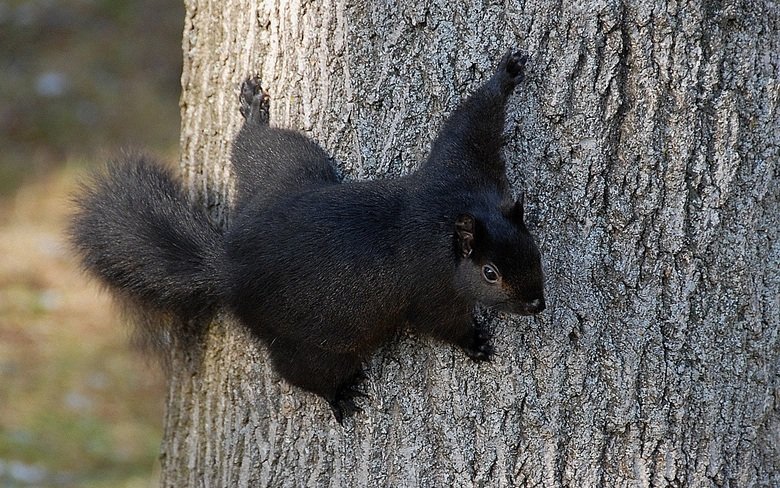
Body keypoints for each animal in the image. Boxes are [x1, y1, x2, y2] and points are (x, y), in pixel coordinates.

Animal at [69, 50, 545, 423]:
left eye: (533, 248)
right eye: (489, 273)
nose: (536, 304)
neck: (450, 217)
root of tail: (228, 267)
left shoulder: (462, 169)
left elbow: (468, 124)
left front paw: (507, 74)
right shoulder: (428, 287)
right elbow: (440, 324)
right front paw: (474, 343)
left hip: (288, 167)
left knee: (257, 149)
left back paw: (254, 115)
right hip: (322, 338)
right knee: (298, 370)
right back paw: (337, 395)